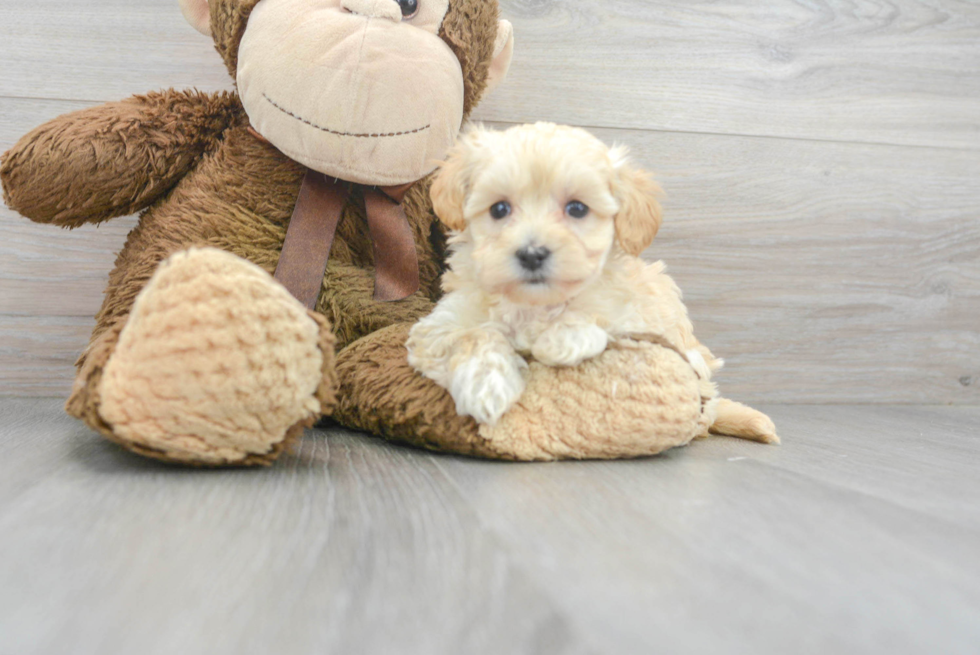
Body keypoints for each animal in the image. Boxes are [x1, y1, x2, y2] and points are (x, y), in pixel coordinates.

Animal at [406, 122, 772, 444]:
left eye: (577, 209)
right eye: (498, 209)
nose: (532, 254)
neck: (534, 305)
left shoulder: (639, 317)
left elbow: (598, 313)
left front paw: (562, 337)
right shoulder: (439, 325)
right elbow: (474, 335)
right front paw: (487, 387)